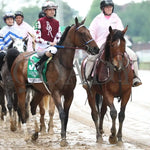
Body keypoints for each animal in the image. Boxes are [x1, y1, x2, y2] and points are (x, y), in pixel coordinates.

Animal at [6, 17, 99, 145]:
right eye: (82, 33)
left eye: (89, 31)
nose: (96, 49)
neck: (62, 65)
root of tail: (18, 57)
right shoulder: (55, 93)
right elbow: (62, 114)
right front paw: (63, 139)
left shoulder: (69, 94)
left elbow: (66, 114)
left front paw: (63, 137)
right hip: (21, 88)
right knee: (22, 108)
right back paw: (26, 135)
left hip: (38, 90)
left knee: (32, 106)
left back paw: (35, 133)